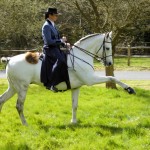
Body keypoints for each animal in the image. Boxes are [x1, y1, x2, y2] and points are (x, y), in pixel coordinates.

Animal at [0, 32, 135, 126]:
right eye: (107, 48)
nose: (110, 63)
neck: (81, 56)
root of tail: (10, 59)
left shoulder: (76, 88)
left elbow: (74, 105)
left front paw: (73, 122)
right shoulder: (91, 80)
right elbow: (112, 78)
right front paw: (129, 89)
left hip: (13, 88)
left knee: (2, 100)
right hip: (22, 88)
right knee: (19, 106)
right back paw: (25, 124)